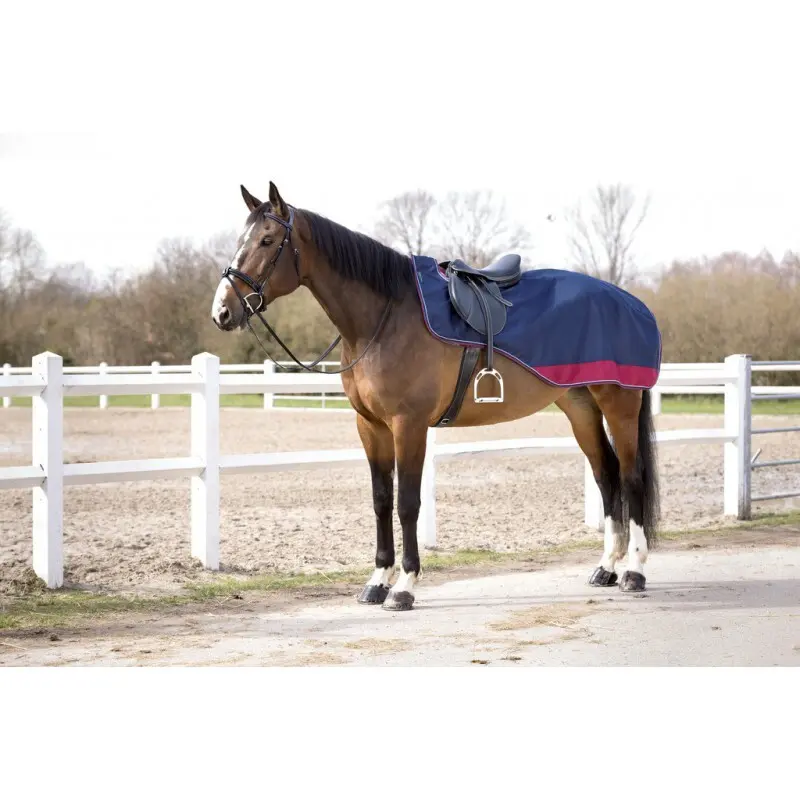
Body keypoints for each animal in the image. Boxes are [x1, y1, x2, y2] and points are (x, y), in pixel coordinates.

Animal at [211, 182, 660, 611]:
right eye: (241, 238)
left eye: (267, 240)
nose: (222, 312)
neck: (384, 318)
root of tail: (631, 303)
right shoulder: (369, 426)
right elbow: (380, 499)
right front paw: (377, 580)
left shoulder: (408, 425)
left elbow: (407, 503)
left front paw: (404, 586)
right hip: (579, 407)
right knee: (605, 475)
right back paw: (605, 567)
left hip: (619, 405)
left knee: (631, 476)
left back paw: (634, 572)